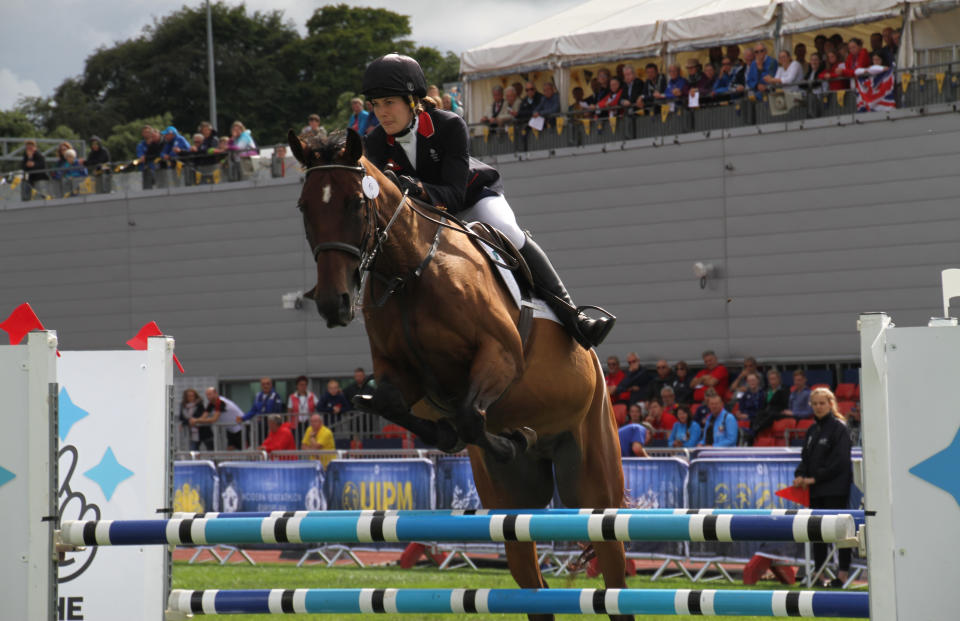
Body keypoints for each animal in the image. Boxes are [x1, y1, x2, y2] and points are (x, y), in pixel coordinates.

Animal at [284, 127, 632, 620]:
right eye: (304, 206)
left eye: (354, 202)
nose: (334, 303)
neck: (410, 270)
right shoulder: (402, 375)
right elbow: (391, 403)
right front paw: (464, 436)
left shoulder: (501, 356)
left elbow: (470, 414)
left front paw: (511, 438)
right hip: (512, 508)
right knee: (533, 581)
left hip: (595, 478)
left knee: (614, 574)